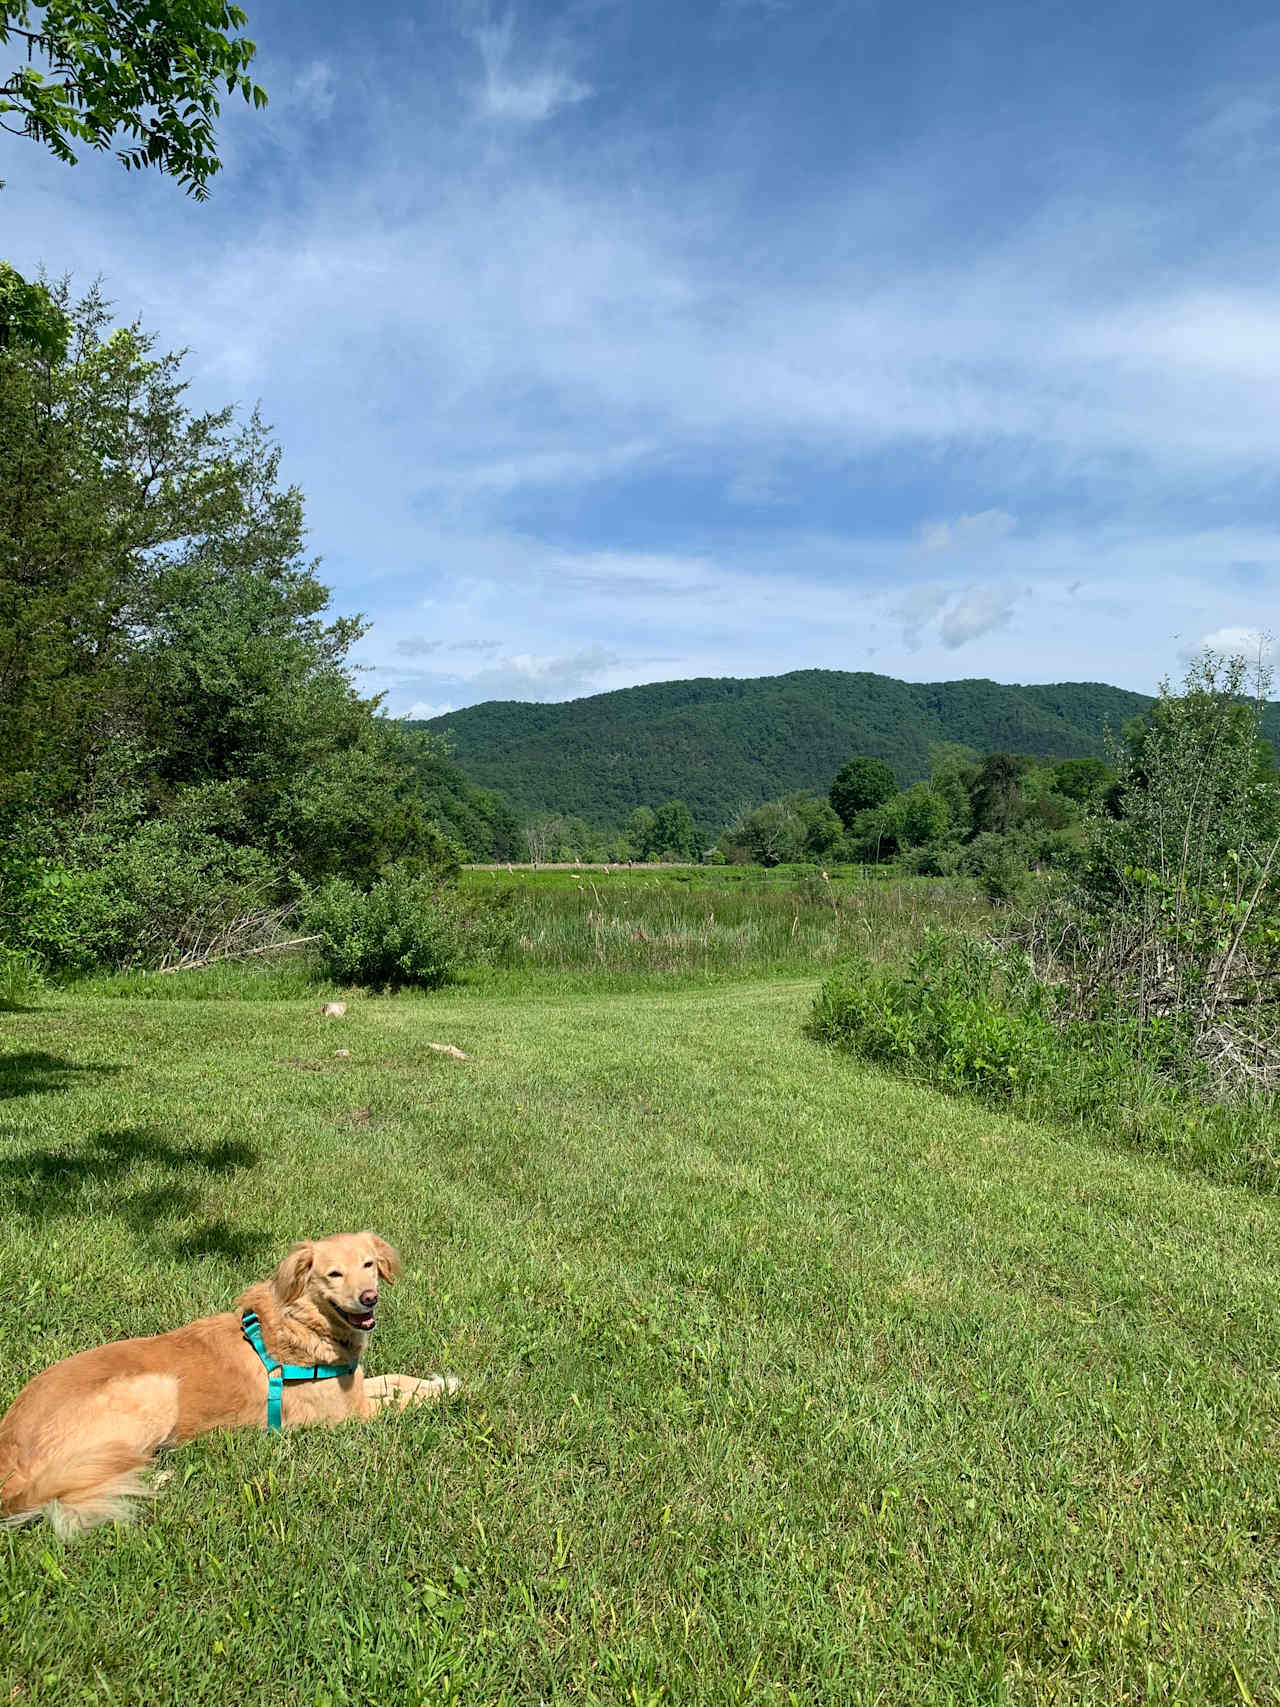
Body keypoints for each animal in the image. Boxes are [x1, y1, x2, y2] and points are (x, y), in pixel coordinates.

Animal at [0, 1229, 457, 1536]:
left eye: (368, 1265)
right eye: (333, 1274)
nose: (369, 1299)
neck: (303, 1326)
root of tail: (10, 1451)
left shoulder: (356, 1390)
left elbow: (398, 1379)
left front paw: (443, 1381)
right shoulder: (350, 1416)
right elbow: (403, 1400)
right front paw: (445, 1392)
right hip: (155, 1390)